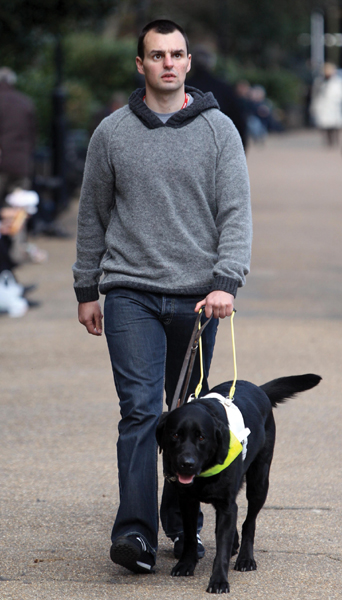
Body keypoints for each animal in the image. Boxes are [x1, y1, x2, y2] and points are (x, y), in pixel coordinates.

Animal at [156, 372, 322, 592]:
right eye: (175, 435)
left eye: (201, 437)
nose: (186, 464)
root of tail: (258, 388)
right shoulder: (188, 501)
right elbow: (191, 536)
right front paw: (186, 564)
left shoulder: (227, 506)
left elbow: (222, 548)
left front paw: (219, 580)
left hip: (259, 483)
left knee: (249, 523)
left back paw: (245, 558)